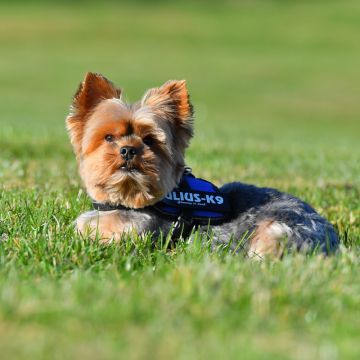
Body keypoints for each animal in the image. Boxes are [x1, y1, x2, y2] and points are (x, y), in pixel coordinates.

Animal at [66, 72, 338, 258]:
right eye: (108, 137)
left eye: (150, 140)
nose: (128, 150)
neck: (127, 201)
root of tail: (332, 238)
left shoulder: (140, 232)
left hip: (276, 232)